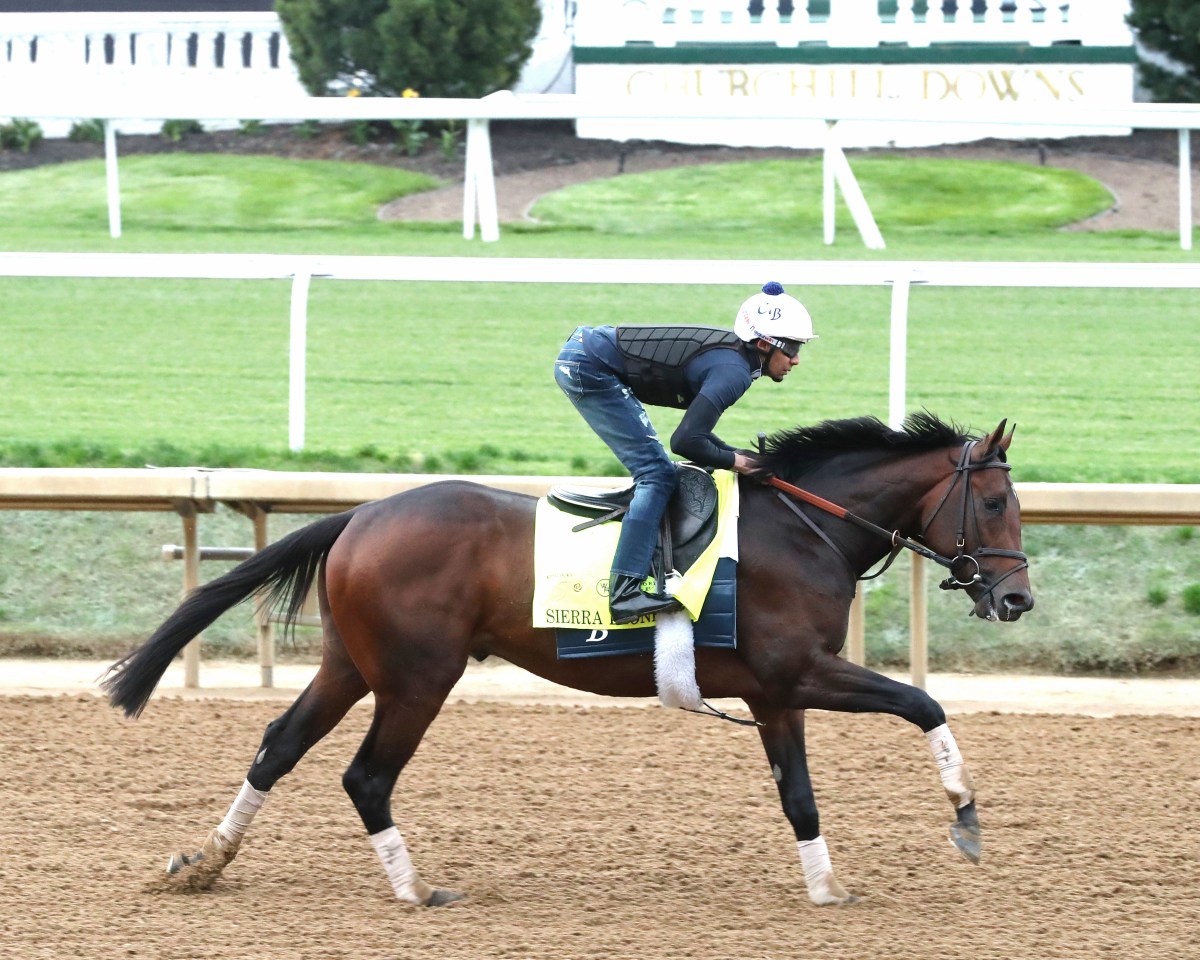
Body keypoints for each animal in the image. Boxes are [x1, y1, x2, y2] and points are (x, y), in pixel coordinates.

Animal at [105, 412, 1032, 907]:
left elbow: (799, 796)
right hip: (418, 677)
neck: (805, 529)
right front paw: (966, 818)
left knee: (279, 745)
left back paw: (204, 862)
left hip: (352, 665)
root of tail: (359, 516)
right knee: (365, 776)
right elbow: (925, 705)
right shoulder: (799, 673)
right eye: (993, 502)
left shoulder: (778, 697)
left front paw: (826, 887)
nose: (1017, 599)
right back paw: (415, 890)